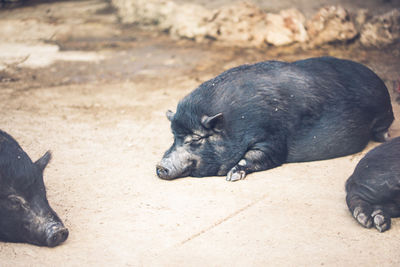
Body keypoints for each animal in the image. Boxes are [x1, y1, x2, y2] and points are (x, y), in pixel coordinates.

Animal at [156, 56, 394, 182]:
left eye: (196, 139)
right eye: (174, 137)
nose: (160, 167)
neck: (234, 123)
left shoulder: (272, 138)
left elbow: (259, 156)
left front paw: (232, 176)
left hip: (384, 113)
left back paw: (386, 138)